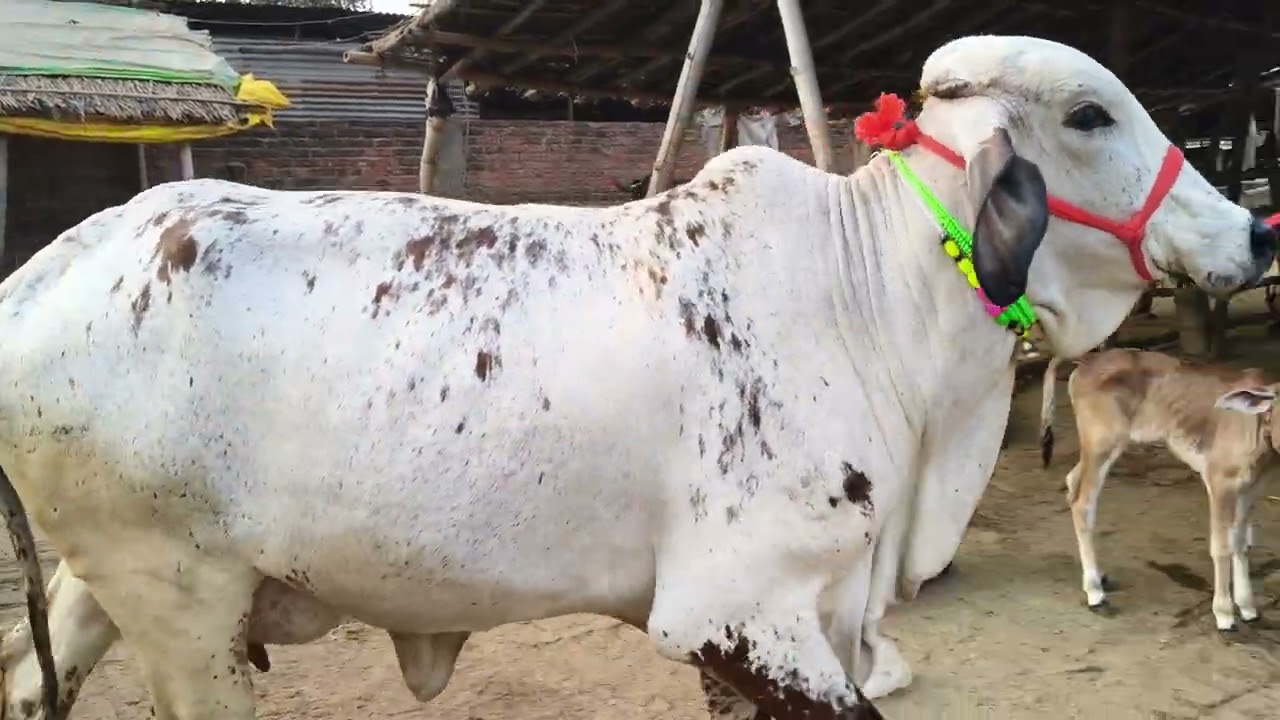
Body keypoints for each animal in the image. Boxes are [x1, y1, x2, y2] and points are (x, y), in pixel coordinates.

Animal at [1040, 350, 1280, 631]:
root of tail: (1086, 360)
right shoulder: (1220, 482)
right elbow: (1221, 546)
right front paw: (1224, 614)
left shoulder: (1251, 489)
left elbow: (1241, 542)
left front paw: (1248, 607)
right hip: (1102, 443)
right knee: (1083, 503)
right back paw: (1095, 591)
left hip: (1095, 449)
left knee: (1071, 482)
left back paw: (1097, 575)